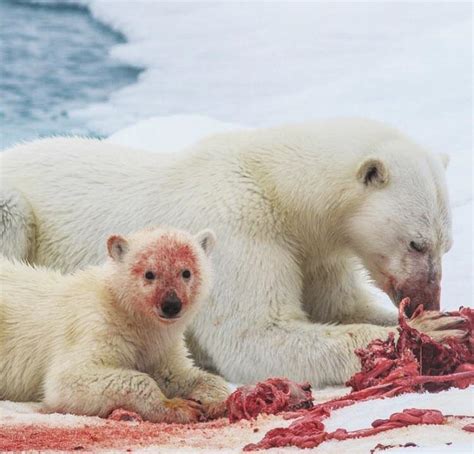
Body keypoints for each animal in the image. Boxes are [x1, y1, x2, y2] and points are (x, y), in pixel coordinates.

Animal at [0, 118, 460, 386]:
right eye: (416, 242)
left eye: (447, 244)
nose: (428, 299)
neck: (276, 185)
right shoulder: (238, 229)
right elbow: (255, 335)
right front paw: (432, 331)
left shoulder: (314, 251)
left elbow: (340, 305)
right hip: (17, 209)